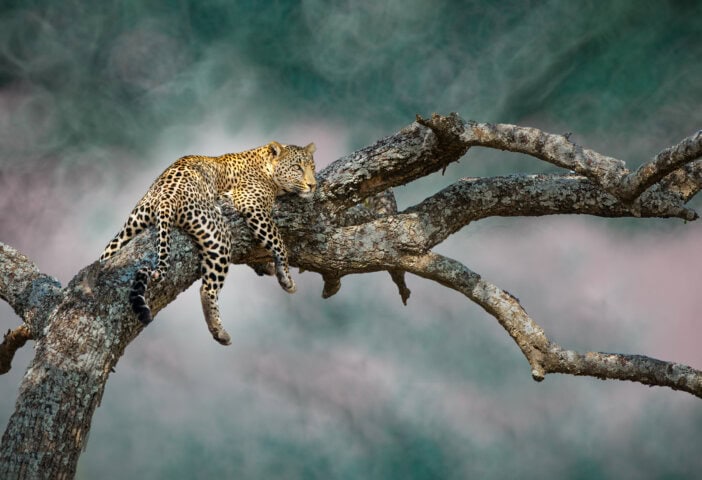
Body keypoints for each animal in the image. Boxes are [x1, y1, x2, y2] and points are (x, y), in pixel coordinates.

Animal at [99, 141, 317, 345]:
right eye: (297, 167)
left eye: (312, 167)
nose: (313, 185)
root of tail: (166, 197)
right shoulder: (252, 204)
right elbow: (278, 241)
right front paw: (286, 277)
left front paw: (268, 266)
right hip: (219, 234)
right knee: (207, 288)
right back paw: (219, 331)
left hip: (130, 228)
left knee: (105, 256)